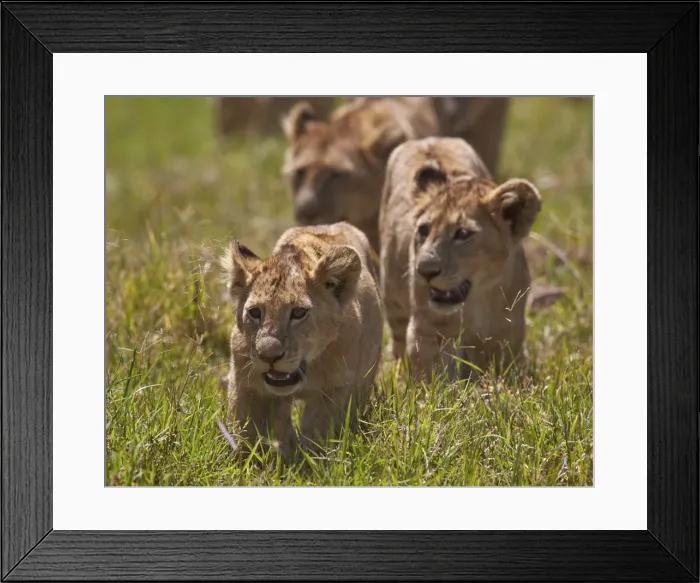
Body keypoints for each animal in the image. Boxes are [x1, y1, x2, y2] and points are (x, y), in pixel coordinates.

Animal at [221, 221, 383, 456]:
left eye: (298, 313)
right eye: (255, 312)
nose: (268, 356)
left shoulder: (335, 389)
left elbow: (318, 433)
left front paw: (309, 460)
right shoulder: (247, 383)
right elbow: (247, 432)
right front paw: (250, 460)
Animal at [379, 137, 541, 382]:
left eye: (463, 234)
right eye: (424, 230)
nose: (424, 271)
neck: (476, 301)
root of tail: (428, 140)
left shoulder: (507, 329)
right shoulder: (429, 328)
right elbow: (434, 375)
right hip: (393, 296)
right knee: (398, 343)